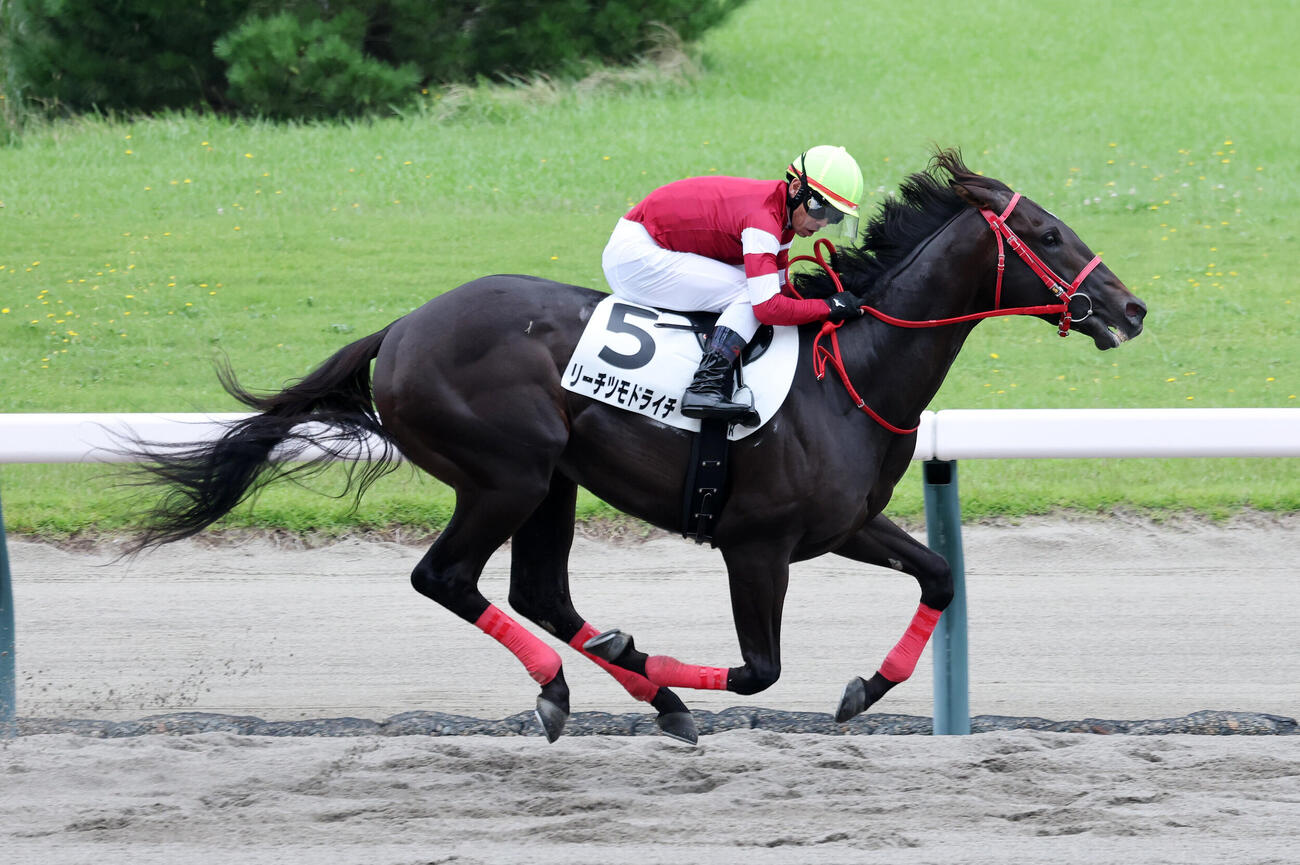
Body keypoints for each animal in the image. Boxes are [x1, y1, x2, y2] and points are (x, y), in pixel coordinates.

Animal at [124, 149, 1147, 744]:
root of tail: (403, 329)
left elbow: (939, 577)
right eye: (1048, 232)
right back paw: (579, 687)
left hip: (552, 482)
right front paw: (664, 661)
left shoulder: (846, 526)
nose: (1132, 307)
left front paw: (865, 688)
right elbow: (761, 668)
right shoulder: (756, 544)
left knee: (539, 591)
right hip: (506, 473)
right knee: (447, 578)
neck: (847, 373)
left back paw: (650, 698)